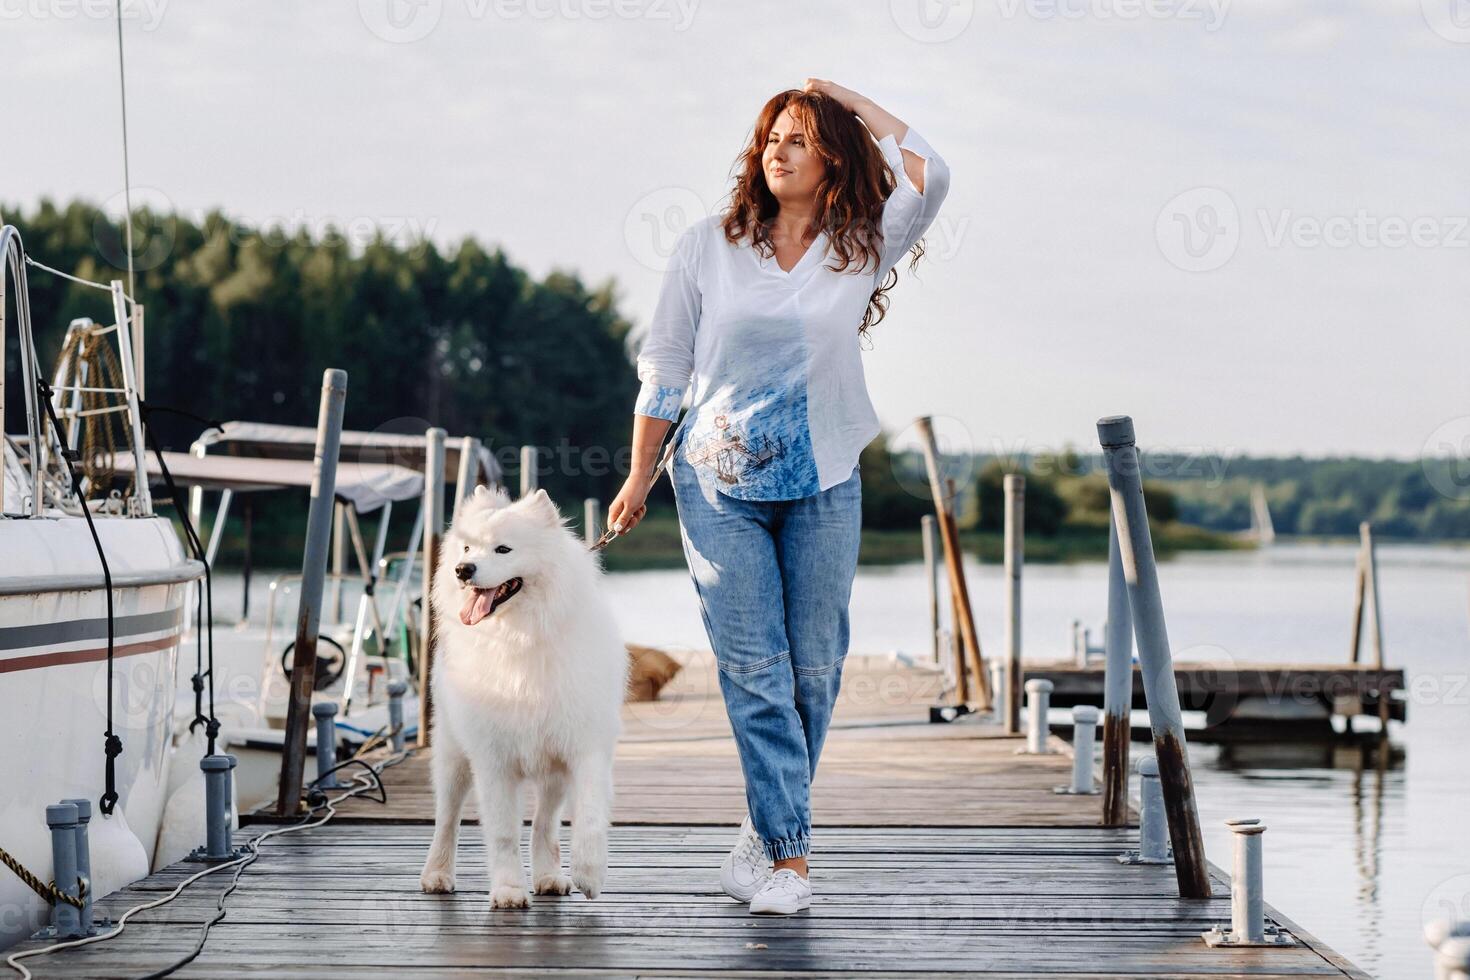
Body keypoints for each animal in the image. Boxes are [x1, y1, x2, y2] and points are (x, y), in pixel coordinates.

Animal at [417, 487, 629, 910]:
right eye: (467, 547)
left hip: (553, 773)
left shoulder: (585, 748)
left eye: (503, 549)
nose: (463, 569)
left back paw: (548, 877)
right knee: (446, 819)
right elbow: (502, 833)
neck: (519, 636)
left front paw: (589, 873)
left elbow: (589, 817)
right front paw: (509, 890)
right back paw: (437, 875)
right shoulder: (493, 760)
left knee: (544, 825)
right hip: (453, 757)